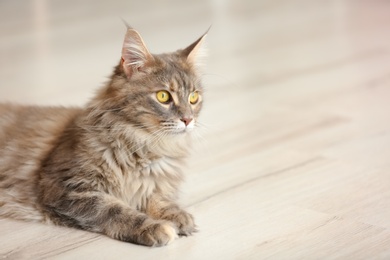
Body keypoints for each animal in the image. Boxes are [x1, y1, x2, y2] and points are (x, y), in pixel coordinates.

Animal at [0, 26, 207, 248]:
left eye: (194, 97)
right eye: (163, 96)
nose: (188, 119)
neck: (144, 145)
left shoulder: (151, 184)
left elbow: (155, 197)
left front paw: (177, 215)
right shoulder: (65, 186)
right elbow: (114, 209)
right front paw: (153, 227)